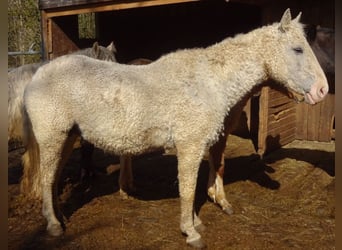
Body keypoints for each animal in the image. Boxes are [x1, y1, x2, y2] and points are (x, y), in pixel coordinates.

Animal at [24, 9, 328, 248]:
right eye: (298, 49)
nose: (322, 90)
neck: (209, 81)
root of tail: (38, 76)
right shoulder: (190, 147)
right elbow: (188, 189)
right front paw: (191, 233)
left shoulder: (198, 146)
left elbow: (194, 185)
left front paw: (196, 222)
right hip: (53, 138)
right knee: (47, 178)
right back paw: (54, 225)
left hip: (67, 137)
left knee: (53, 178)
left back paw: (60, 218)